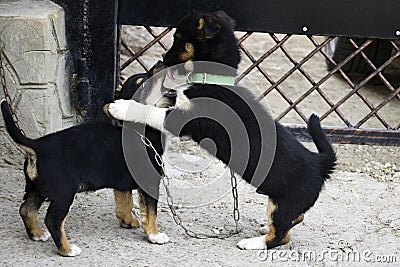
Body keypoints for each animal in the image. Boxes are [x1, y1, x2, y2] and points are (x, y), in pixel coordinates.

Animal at [1, 62, 173, 258]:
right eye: (143, 83)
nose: (160, 62)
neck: (140, 129)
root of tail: (37, 146)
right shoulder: (149, 182)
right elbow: (151, 211)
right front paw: (155, 235)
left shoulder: (120, 183)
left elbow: (125, 202)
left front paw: (128, 221)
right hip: (64, 191)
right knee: (52, 219)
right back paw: (67, 249)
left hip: (36, 187)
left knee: (26, 210)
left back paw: (37, 234)